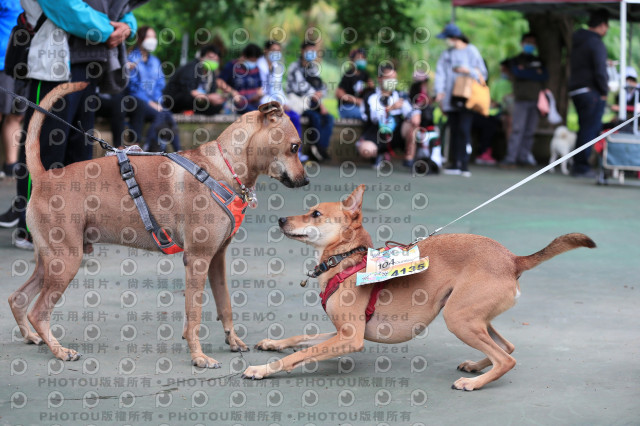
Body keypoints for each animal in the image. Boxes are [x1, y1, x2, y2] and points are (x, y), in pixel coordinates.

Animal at [6, 81, 308, 368]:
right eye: (295, 147)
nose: (305, 181)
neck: (221, 167)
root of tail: (44, 177)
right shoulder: (198, 260)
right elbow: (195, 313)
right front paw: (198, 357)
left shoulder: (217, 259)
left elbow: (225, 306)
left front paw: (232, 340)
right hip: (66, 261)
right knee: (38, 312)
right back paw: (59, 351)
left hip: (51, 262)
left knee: (17, 298)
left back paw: (32, 337)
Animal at [242, 185, 596, 392]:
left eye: (315, 213)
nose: (280, 220)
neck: (345, 260)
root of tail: (512, 259)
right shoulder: (340, 333)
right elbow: (300, 338)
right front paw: (273, 343)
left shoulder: (350, 337)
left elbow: (298, 355)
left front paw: (261, 369)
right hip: (474, 316)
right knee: (506, 348)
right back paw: (476, 366)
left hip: (458, 317)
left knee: (506, 360)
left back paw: (473, 382)